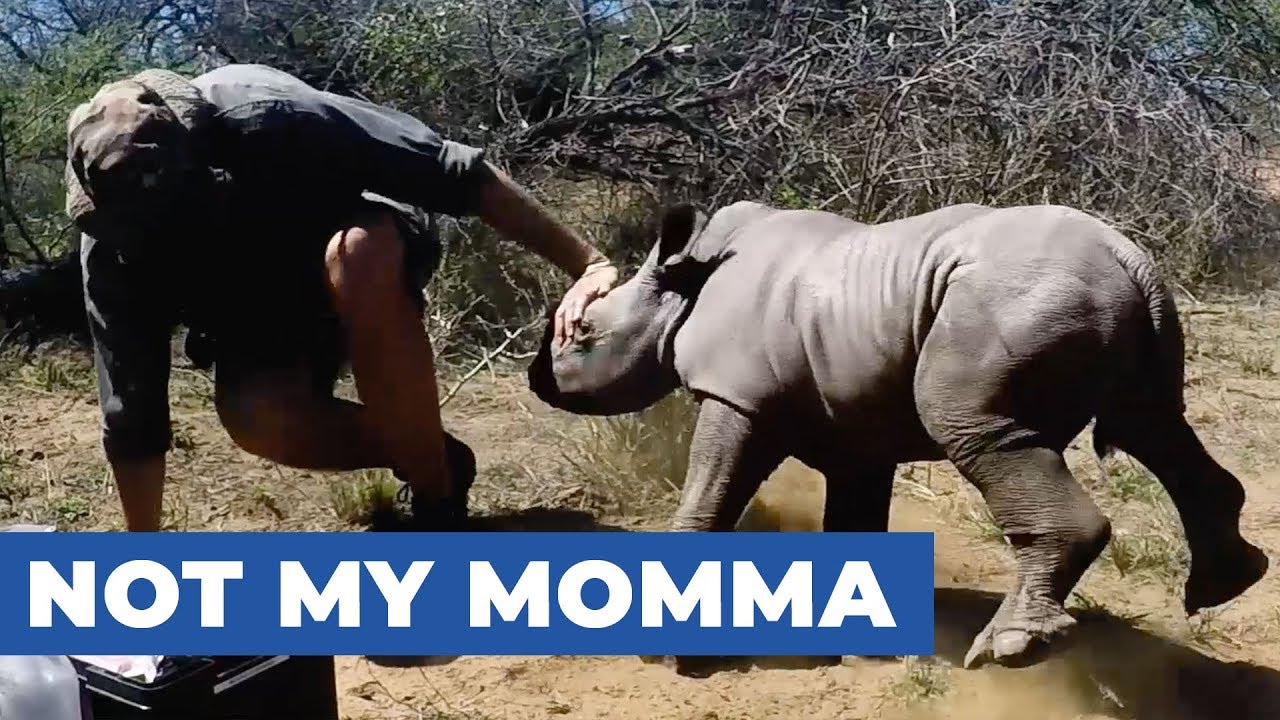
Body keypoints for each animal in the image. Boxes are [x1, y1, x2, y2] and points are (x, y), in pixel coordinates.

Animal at [526, 200, 1269, 672]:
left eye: (582, 335)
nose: (538, 379)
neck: (683, 285)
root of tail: (1129, 256)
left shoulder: (736, 394)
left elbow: (710, 491)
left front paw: (674, 654)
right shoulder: (854, 424)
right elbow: (852, 522)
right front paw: (851, 648)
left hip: (1014, 300)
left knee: (970, 421)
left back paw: (1008, 650)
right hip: (1105, 302)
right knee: (1154, 425)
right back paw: (1222, 584)